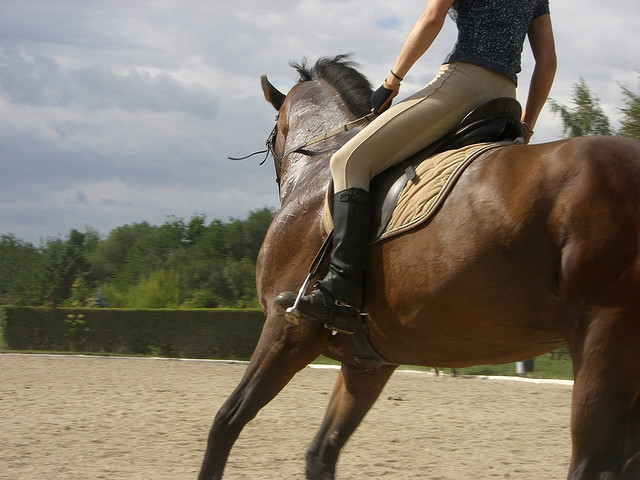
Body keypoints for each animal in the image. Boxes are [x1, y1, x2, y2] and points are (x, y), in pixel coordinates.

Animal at [200, 57, 640, 480]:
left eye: (273, 133)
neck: (320, 172)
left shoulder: (287, 330)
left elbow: (225, 423)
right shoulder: (367, 363)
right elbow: (320, 454)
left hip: (605, 333)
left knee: (593, 464)